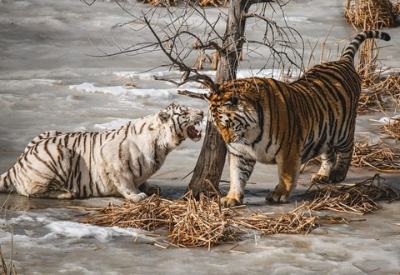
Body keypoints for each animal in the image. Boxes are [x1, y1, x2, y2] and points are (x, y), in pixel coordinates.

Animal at [0, 104, 205, 203]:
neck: (163, 143)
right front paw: (136, 196)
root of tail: (16, 165)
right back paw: (67, 194)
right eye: (185, 112)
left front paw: (150, 187)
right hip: (59, 153)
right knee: (30, 191)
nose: (202, 112)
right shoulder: (111, 155)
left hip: (49, 132)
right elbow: (125, 181)